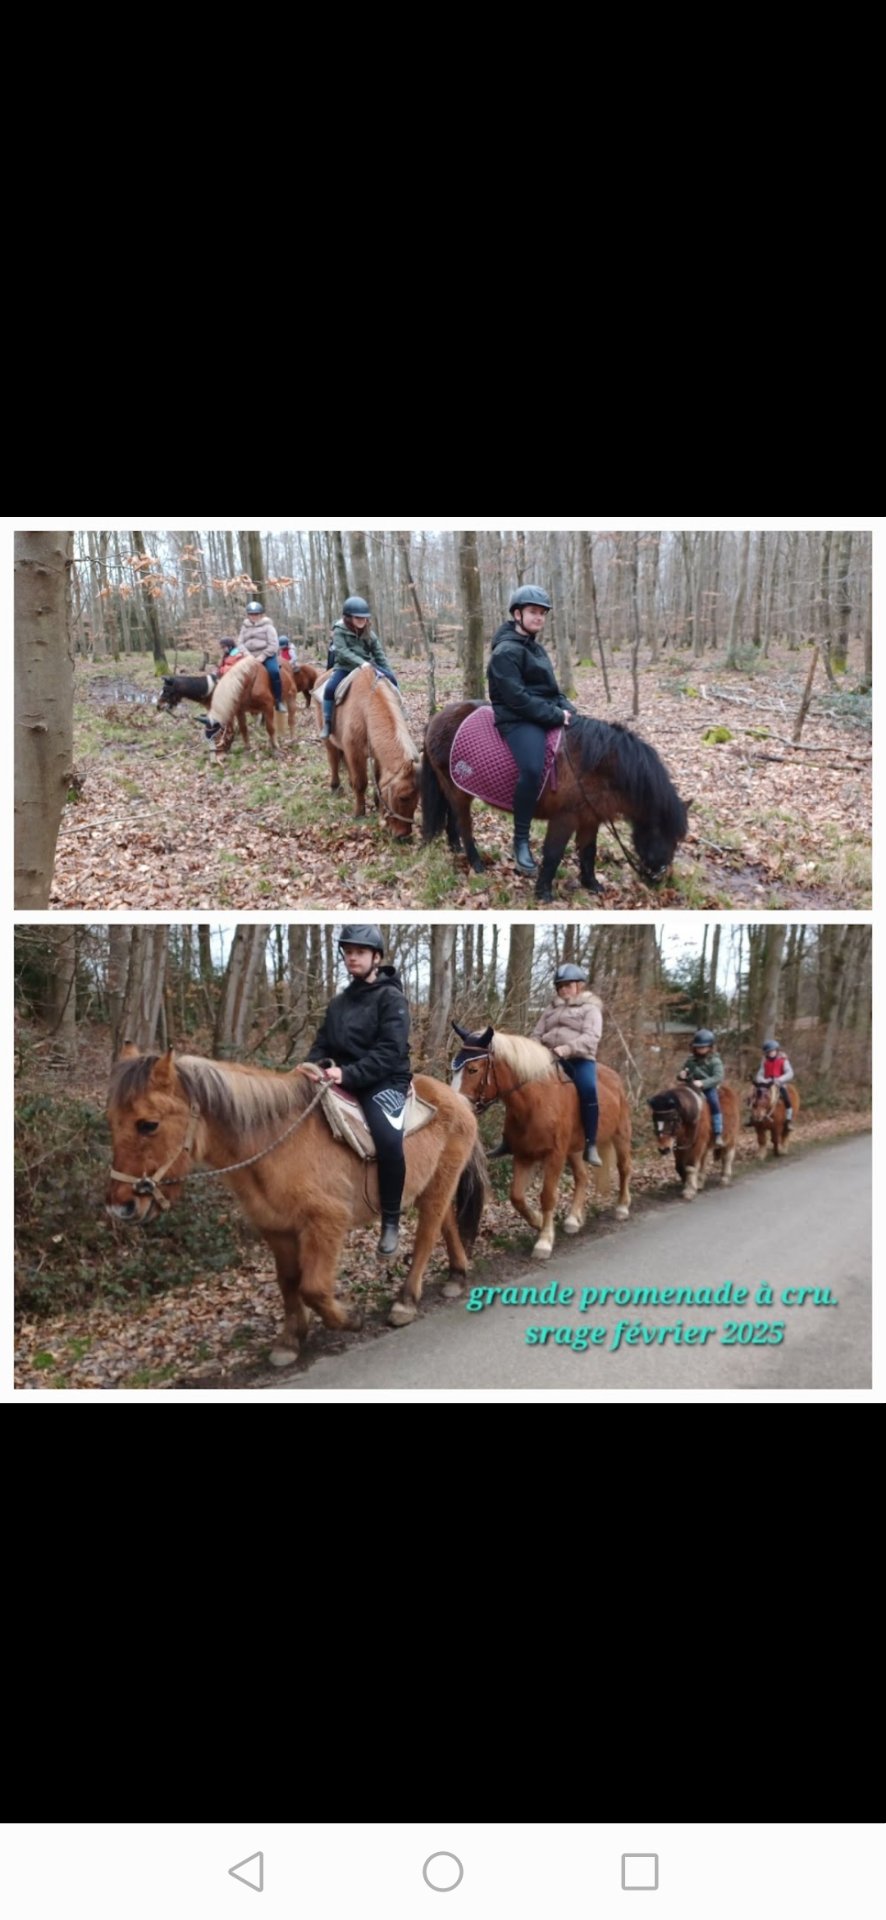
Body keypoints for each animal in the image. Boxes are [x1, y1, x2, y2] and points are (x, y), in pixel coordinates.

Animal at [106, 1044, 487, 1369]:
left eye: (148, 1124)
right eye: (112, 1122)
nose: (121, 1207)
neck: (276, 1142)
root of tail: (457, 1099)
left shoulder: (325, 1223)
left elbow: (313, 1288)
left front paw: (350, 1318)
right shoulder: (276, 1229)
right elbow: (288, 1281)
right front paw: (290, 1341)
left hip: (439, 1184)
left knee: (426, 1236)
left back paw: (406, 1301)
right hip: (434, 1184)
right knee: (446, 1223)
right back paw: (456, 1275)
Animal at [314, 664, 421, 838]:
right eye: (403, 797)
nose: (403, 836)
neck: (365, 709)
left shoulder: (376, 755)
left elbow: (378, 780)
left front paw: (378, 805)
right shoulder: (355, 753)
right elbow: (360, 782)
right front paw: (359, 813)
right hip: (329, 740)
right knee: (333, 760)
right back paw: (335, 787)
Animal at [422, 702, 689, 903]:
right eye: (662, 833)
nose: (661, 879)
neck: (594, 764)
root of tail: (437, 718)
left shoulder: (590, 818)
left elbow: (588, 852)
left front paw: (592, 885)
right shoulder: (565, 818)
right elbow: (553, 854)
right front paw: (543, 893)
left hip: (454, 788)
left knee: (453, 819)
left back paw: (455, 848)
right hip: (457, 790)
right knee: (464, 825)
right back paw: (476, 863)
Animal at [451, 1021, 632, 1261]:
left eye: (473, 1069)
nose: (457, 1108)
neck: (535, 1102)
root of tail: (615, 1077)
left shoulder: (554, 1156)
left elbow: (547, 1196)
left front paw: (544, 1241)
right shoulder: (523, 1155)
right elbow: (517, 1197)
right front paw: (538, 1222)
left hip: (620, 1136)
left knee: (624, 1168)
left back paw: (622, 1207)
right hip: (573, 1150)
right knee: (582, 1176)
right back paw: (573, 1219)